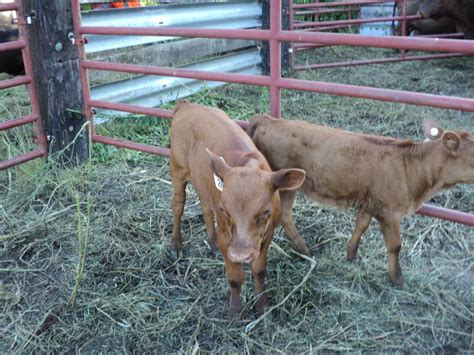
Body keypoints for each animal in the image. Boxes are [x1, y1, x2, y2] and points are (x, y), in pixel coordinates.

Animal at [168, 103, 306, 318]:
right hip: (177, 169)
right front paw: (234, 311)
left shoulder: (267, 234)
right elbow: (235, 277)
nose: (240, 254)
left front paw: (261, 304)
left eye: (265, 212)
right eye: (225, 210)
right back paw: (175, 244)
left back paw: (212, 242)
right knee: (178, 206)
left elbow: (259, 269)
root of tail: (187, 105)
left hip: (202, 180)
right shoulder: (227, 237)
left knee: (205, 206)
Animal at [248, 115, 474, 288]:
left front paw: (351, 254)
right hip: (285, 188)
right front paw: (397, 278)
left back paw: (304, 249)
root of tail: (269, 119)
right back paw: (303, 249)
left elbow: (361, 226)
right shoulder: (390, 212)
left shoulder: (369, 204)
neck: (411, 167)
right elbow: (395, 246)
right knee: (284, 214)